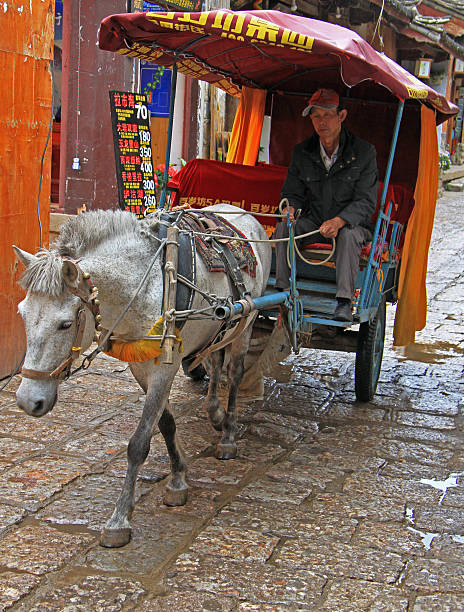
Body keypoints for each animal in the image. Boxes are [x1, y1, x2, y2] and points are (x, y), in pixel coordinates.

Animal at [12, 204, 272, 544]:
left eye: (65, 324)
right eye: (22, 314)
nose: (28, 401)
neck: (144, 284)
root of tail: (243, 213)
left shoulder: (164, 366)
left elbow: (139, 443)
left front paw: (119, 518)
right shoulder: (140, 367)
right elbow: (166, 424)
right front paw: (178, 477)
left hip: (247, 323)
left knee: (235, 373)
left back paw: (228, 433)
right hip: (219, 326)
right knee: (214, 362)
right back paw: (214, 413)